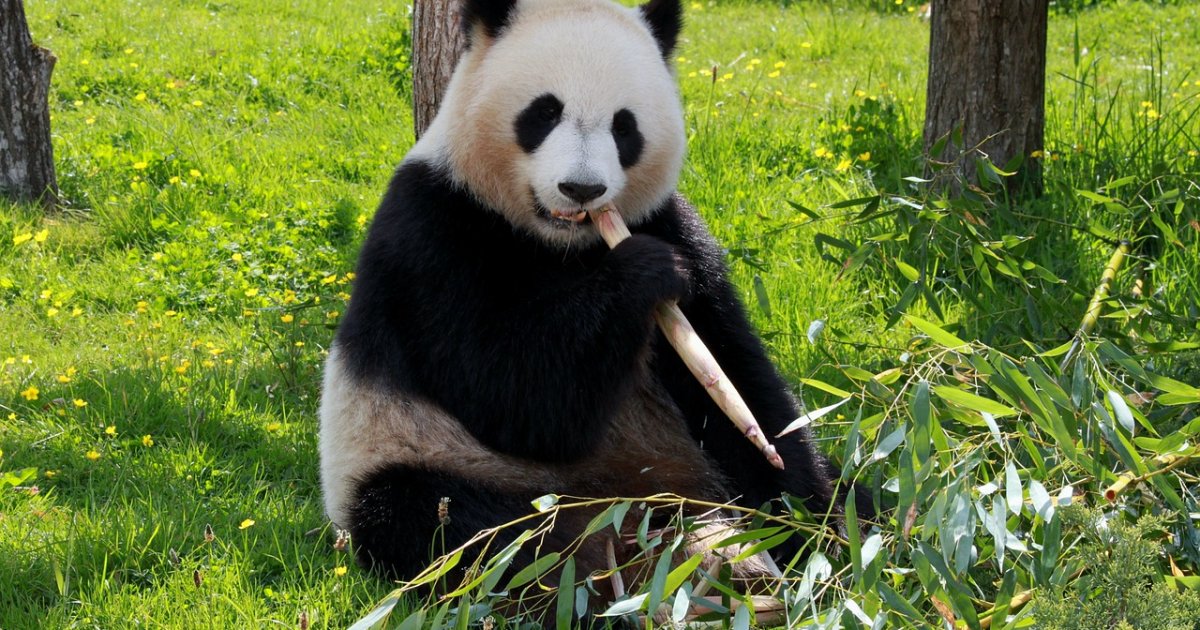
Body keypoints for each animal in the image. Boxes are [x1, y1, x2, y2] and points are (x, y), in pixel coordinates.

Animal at [320, 0, 849, 610]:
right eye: (544, 112)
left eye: (624, 126)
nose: (582, 189)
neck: (562, 243)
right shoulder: (432, 231)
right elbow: (516, 397)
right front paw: (642, 274)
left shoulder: (672, 224)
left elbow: (737, 382)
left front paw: (811, 523)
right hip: (421, 458)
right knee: (463, 533)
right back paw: (613, 580)